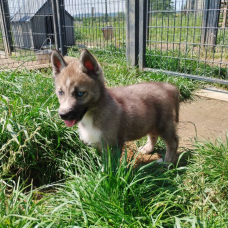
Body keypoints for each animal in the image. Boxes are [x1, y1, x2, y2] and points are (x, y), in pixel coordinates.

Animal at [50, 49, 179, 164]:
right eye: (60, 92)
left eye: (80, 93)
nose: (63, 115)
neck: (92, 113)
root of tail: (167, 86)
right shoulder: (100, 143)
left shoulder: (113, 145)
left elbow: (110, 166)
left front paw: (105, 174)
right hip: (152, 121)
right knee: (153, 135)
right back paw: (148, 149)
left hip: (164, 123)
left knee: (173, 142)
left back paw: (167, 162)